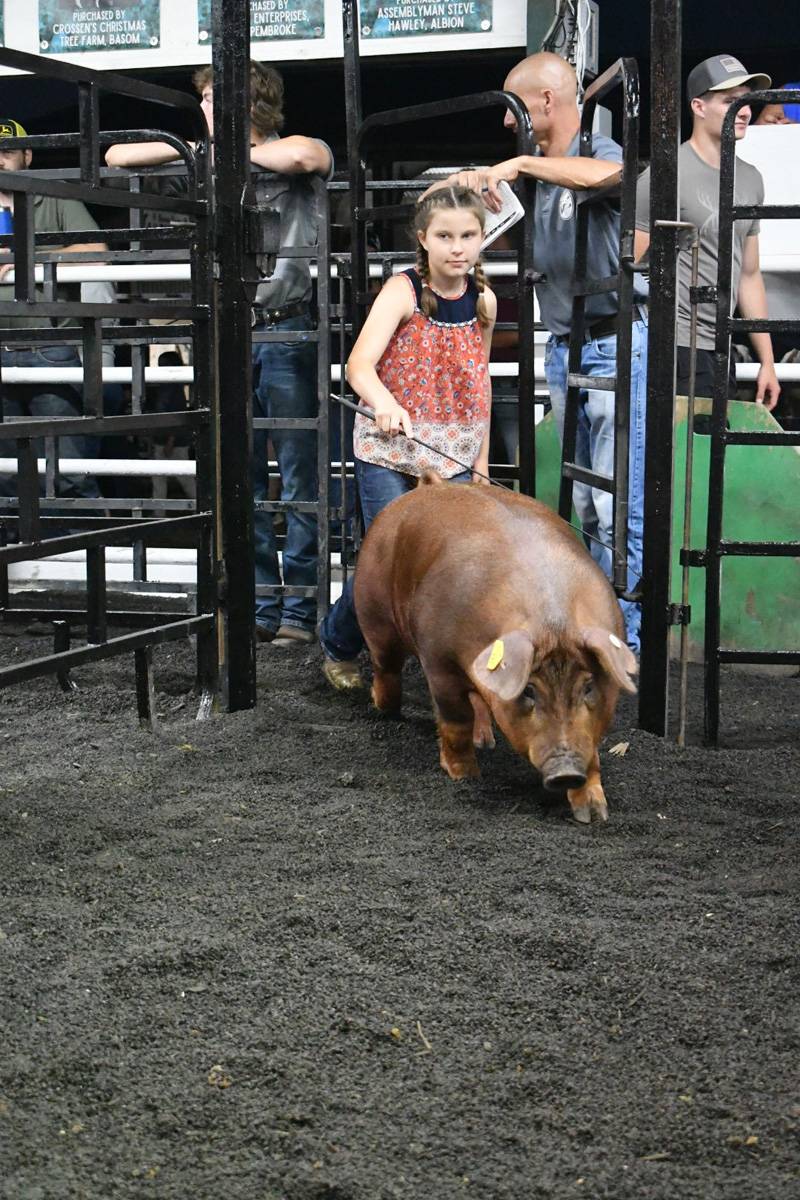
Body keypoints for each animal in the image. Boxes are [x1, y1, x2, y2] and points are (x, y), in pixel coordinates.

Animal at [352, 472, 642, 820]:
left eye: (588, 686)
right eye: (529, 690)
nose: (566, 771)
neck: (552, 624)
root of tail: (428, 486)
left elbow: (593, 749)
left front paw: (595, 813)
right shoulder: (439, 661)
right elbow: (455, 720)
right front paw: (465, 776)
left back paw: (486, 741)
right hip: (373, 612)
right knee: (386, 667)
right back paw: (385, 710)